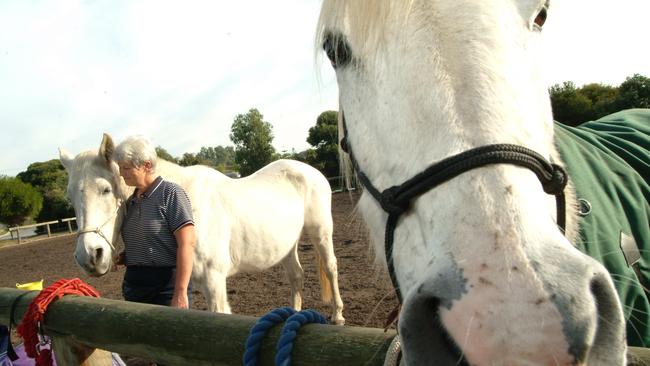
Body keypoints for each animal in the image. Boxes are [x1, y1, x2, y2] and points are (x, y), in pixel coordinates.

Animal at [58, 134, 344, 324]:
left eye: (106, 189)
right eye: (70, 196)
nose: (89, 256)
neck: (187, 204)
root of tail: (309, 170)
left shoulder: (214, 281)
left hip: (321, 232)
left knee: (331, 267)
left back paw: (338, 316)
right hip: (286, 245)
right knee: (296, 276)